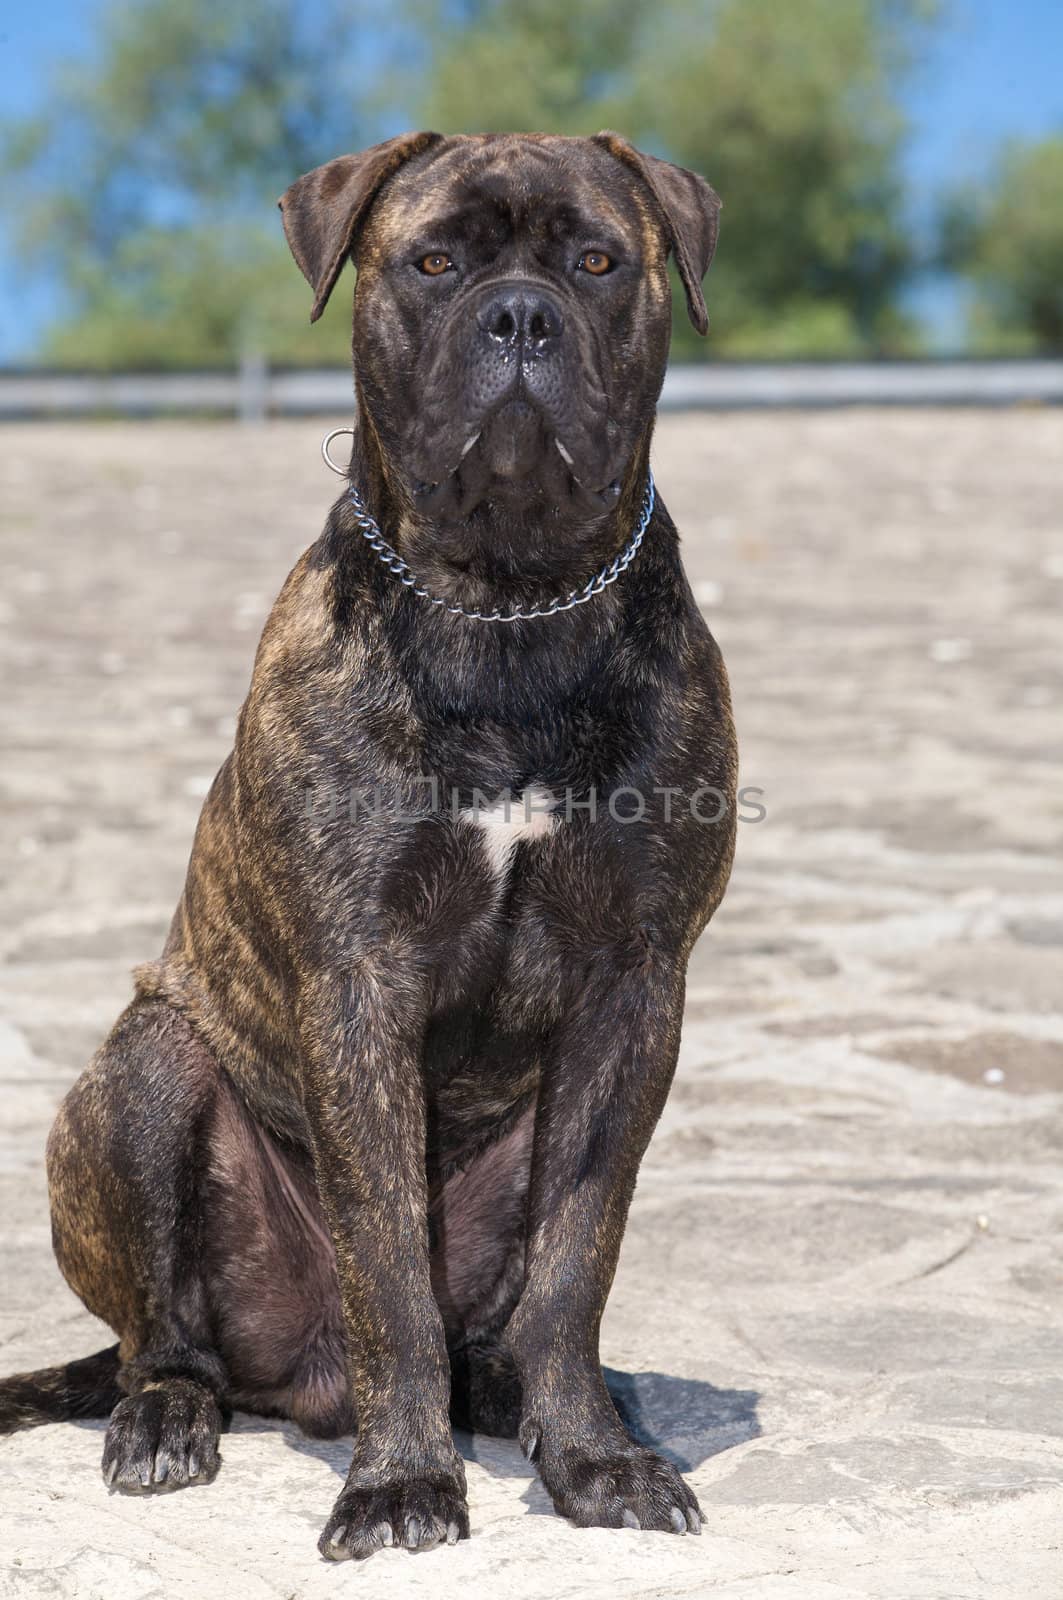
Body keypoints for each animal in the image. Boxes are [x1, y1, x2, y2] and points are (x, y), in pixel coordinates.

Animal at [0, 131, 736, 1555]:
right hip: (142, 1077)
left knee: (507, 1323)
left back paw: (531, 1399)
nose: (520, 317)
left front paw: (594, 1460)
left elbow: (578, 1258)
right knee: (163, 1338)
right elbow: (387, 1264)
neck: (507, 602)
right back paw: (167, 1421)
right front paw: (400, 1483)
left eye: (597, 261)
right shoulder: (358, 980)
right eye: (435, 262)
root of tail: (297, 1384)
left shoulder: (634, 988)